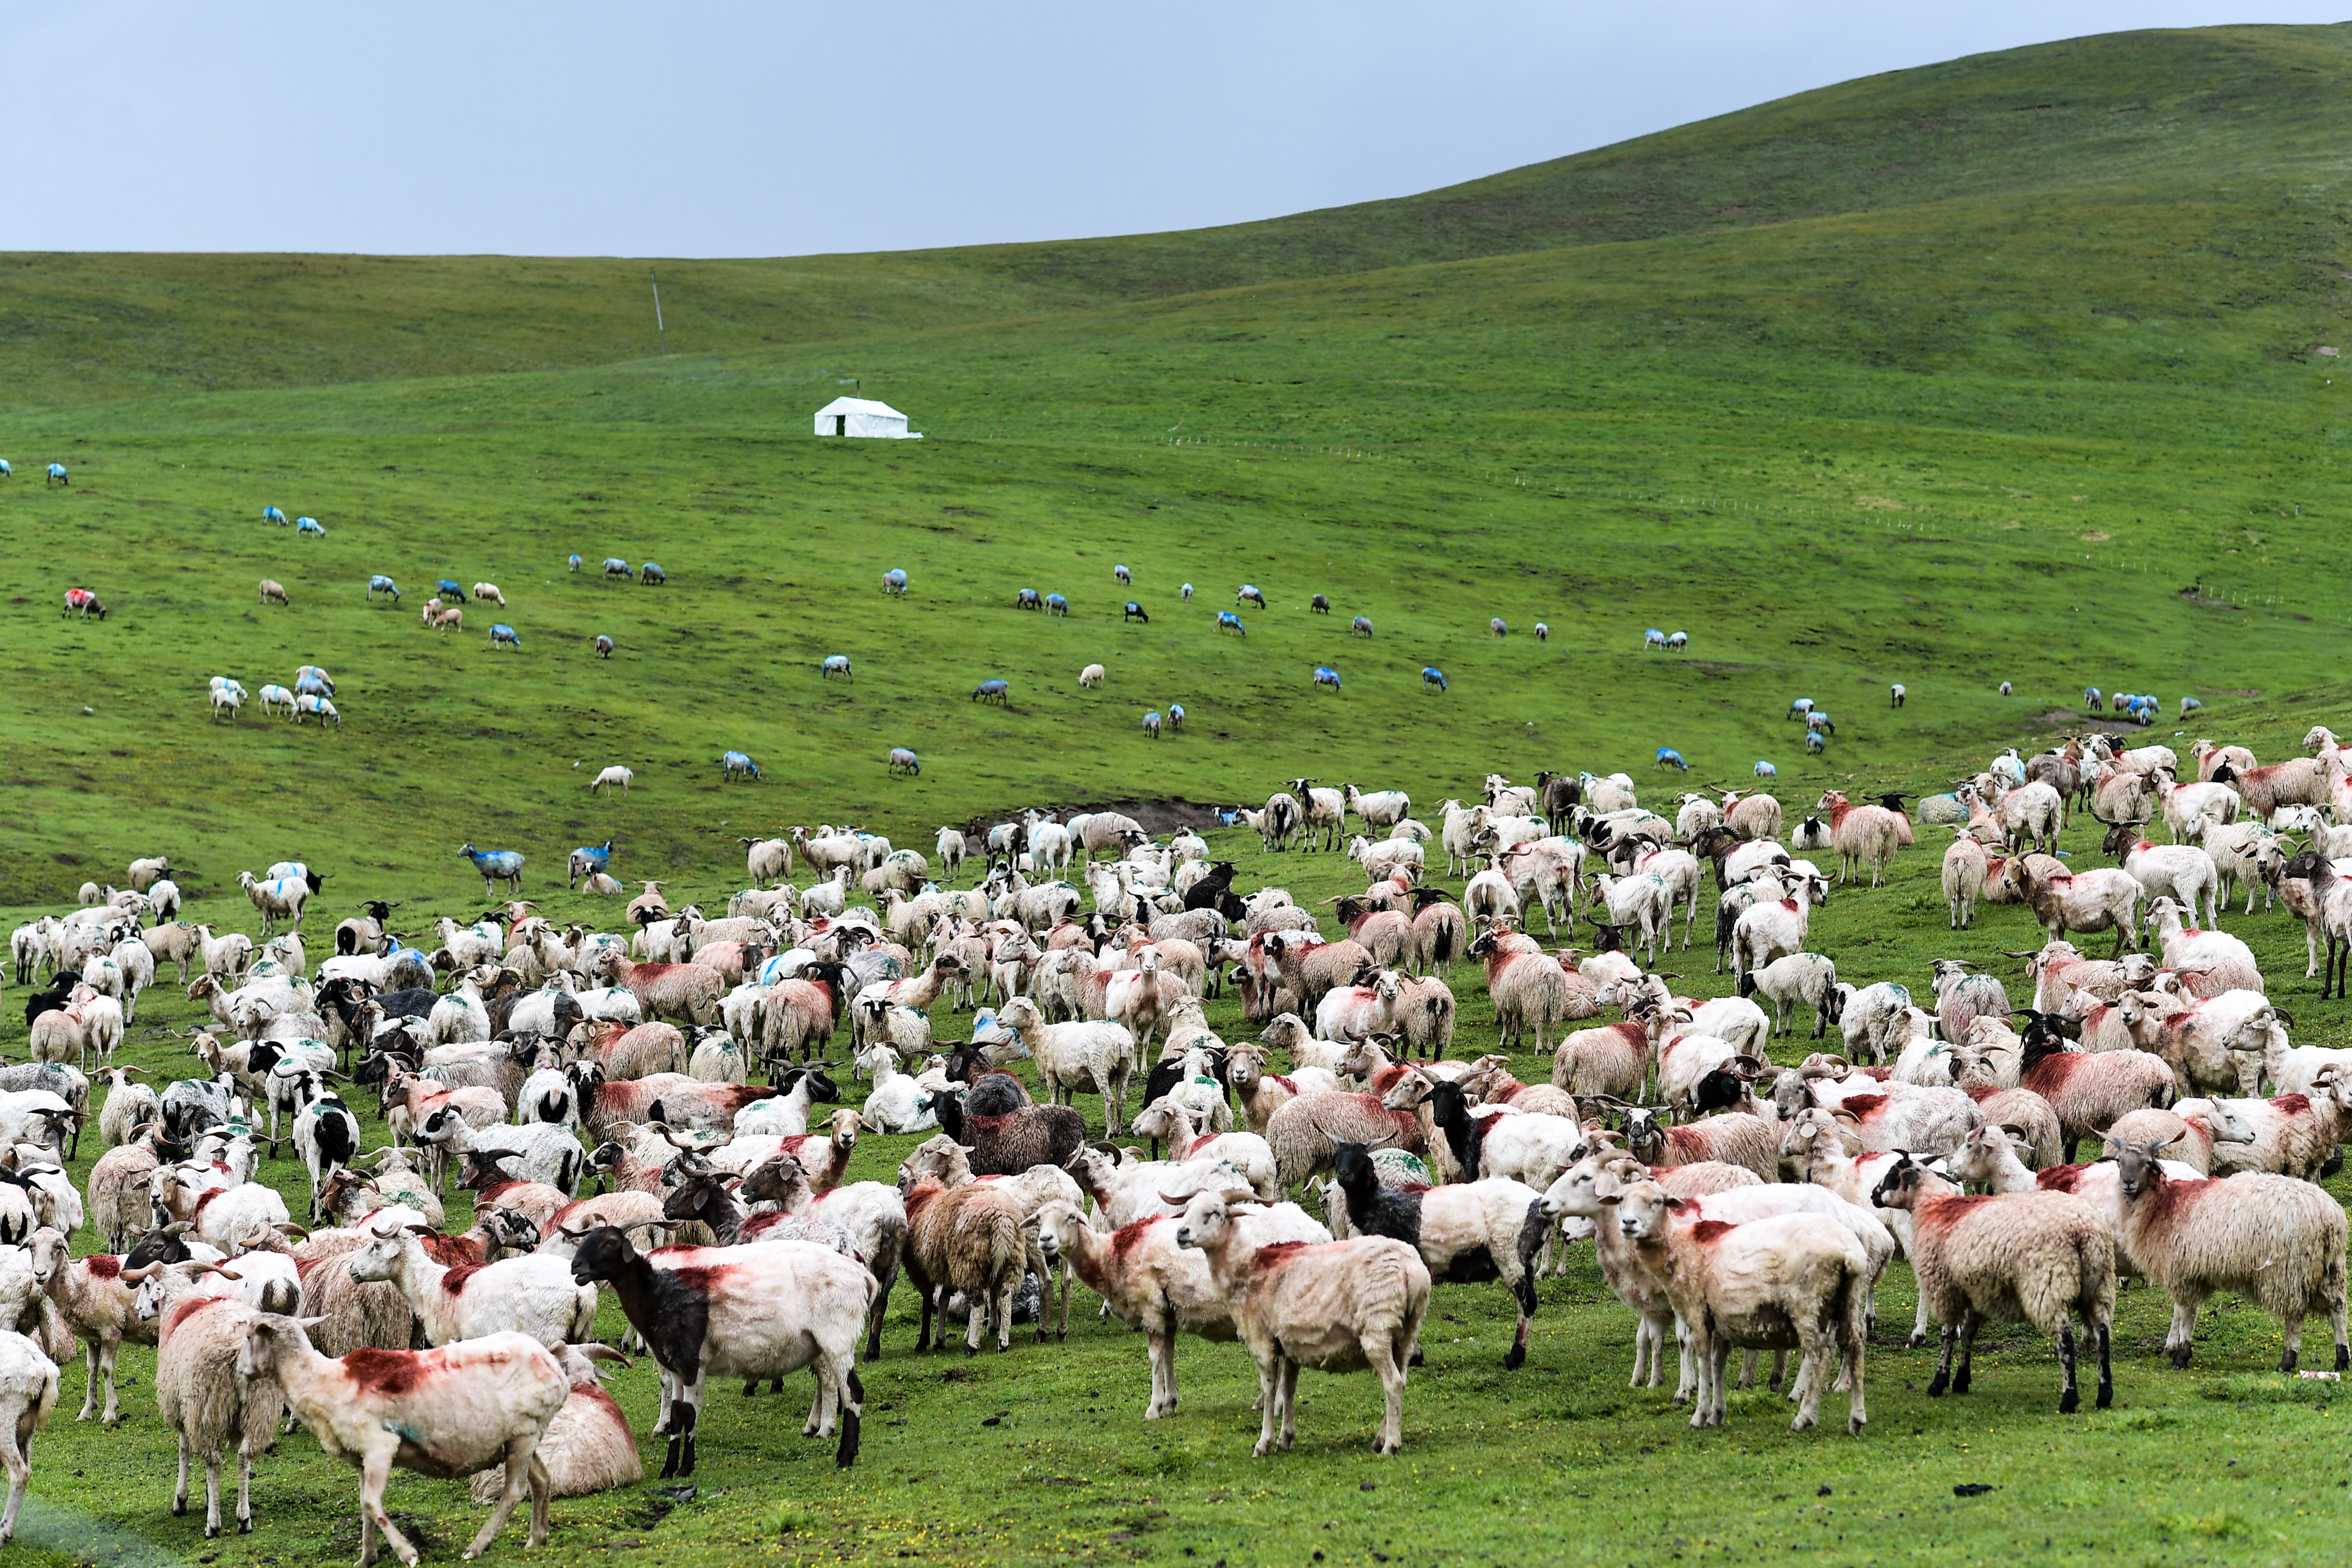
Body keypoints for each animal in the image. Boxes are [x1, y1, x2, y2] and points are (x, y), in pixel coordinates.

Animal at [2107, 1128, 2343, 1373]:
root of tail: (2329, 1216)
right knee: (2338, 1307)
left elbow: (2185, 1313)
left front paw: (2181, 1355)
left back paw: (2288, 1360)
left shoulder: (2182, 1271)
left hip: (2289, 1269)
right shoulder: (2193, 1273)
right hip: (2331, 1266)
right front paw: (2183, 1352)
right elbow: (2190, 1312)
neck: (2165, 1203)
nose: (2128, 1183)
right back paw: (2342, 1358)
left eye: (2147, 1162)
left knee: (2296, 1314)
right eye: (2119, 1161)